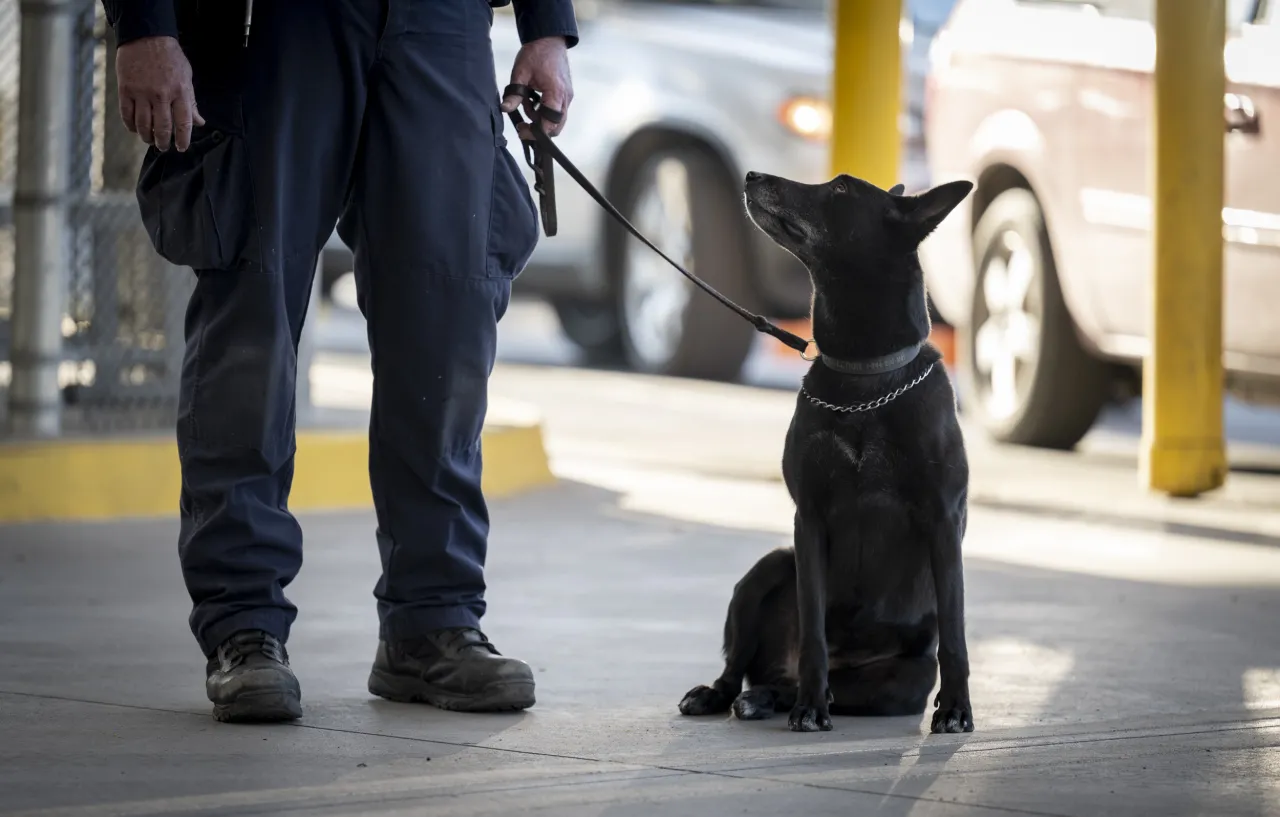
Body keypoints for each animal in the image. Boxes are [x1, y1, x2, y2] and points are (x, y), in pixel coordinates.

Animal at [680, 172, 967, 737]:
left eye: (840, 190)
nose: (752, 176)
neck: (863, 380)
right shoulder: (808, 521)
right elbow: (812, 625)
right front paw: (812, 707)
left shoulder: (943, 521)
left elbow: (956, 631)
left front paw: (956, 709)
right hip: (767, 569)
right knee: (740, 667)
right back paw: (735, 694)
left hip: (900, 683)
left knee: (793, 686)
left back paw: (768, 697)